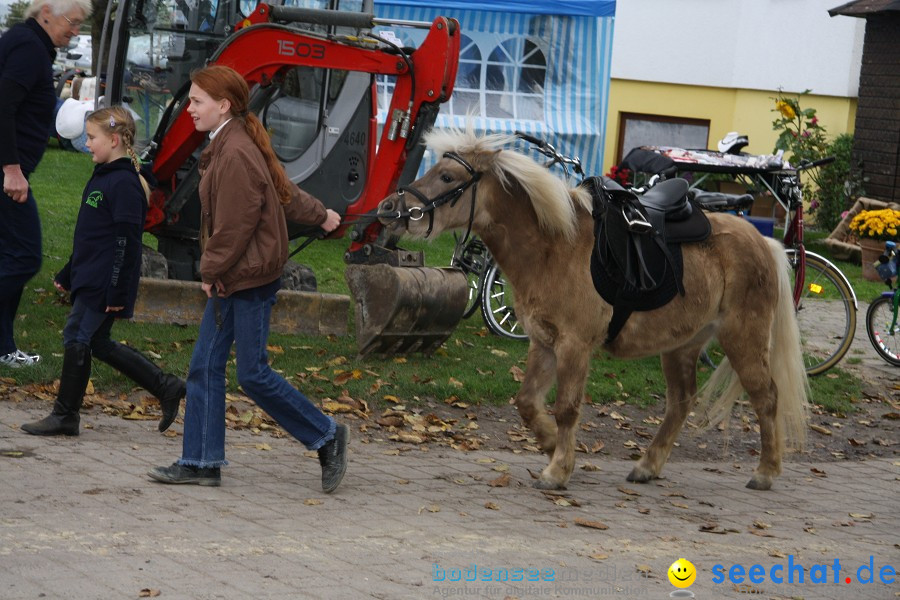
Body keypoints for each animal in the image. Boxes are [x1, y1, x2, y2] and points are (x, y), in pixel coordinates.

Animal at [376, 129, 812, 490]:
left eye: (448, 177)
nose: (389, 209)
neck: (554, 247)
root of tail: (762, 241)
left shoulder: (574, 346)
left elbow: (567, 408)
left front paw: (557, 470)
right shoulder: (544, 343)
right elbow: (527, 403)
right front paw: (551, 445)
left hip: (743, 338)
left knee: (766, 397)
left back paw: (765, 471)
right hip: (682, 346)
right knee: (681, 402)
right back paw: (648, 466)